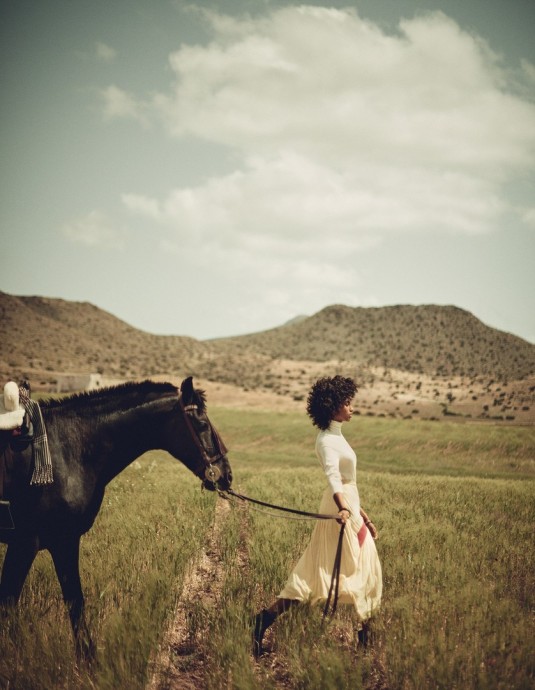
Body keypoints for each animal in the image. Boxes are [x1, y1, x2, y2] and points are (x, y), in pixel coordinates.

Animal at [0, 376, 234, 656]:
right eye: (201, 423)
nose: (226, 475)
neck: (66, 450)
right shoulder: (34, 541)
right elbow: (21, 602)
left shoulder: (55, 541)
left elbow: (72, 600)